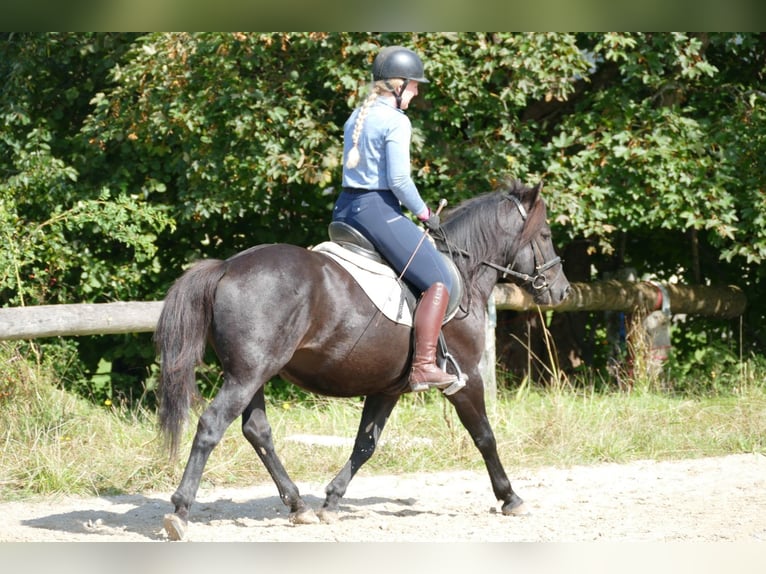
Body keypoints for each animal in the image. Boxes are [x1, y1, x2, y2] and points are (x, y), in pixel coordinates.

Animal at [154, 179, 568, 540]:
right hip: (247, 375)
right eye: (545, 235)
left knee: (257, 431)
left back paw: (298, 506)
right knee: (211, 425)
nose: (562, 290)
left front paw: (332, 501)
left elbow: (365, 444)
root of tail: (226, 267)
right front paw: (510, 497)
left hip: (250, 374)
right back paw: (180, 511)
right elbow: (484, 436)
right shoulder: (465, 378)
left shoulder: (387, 388)